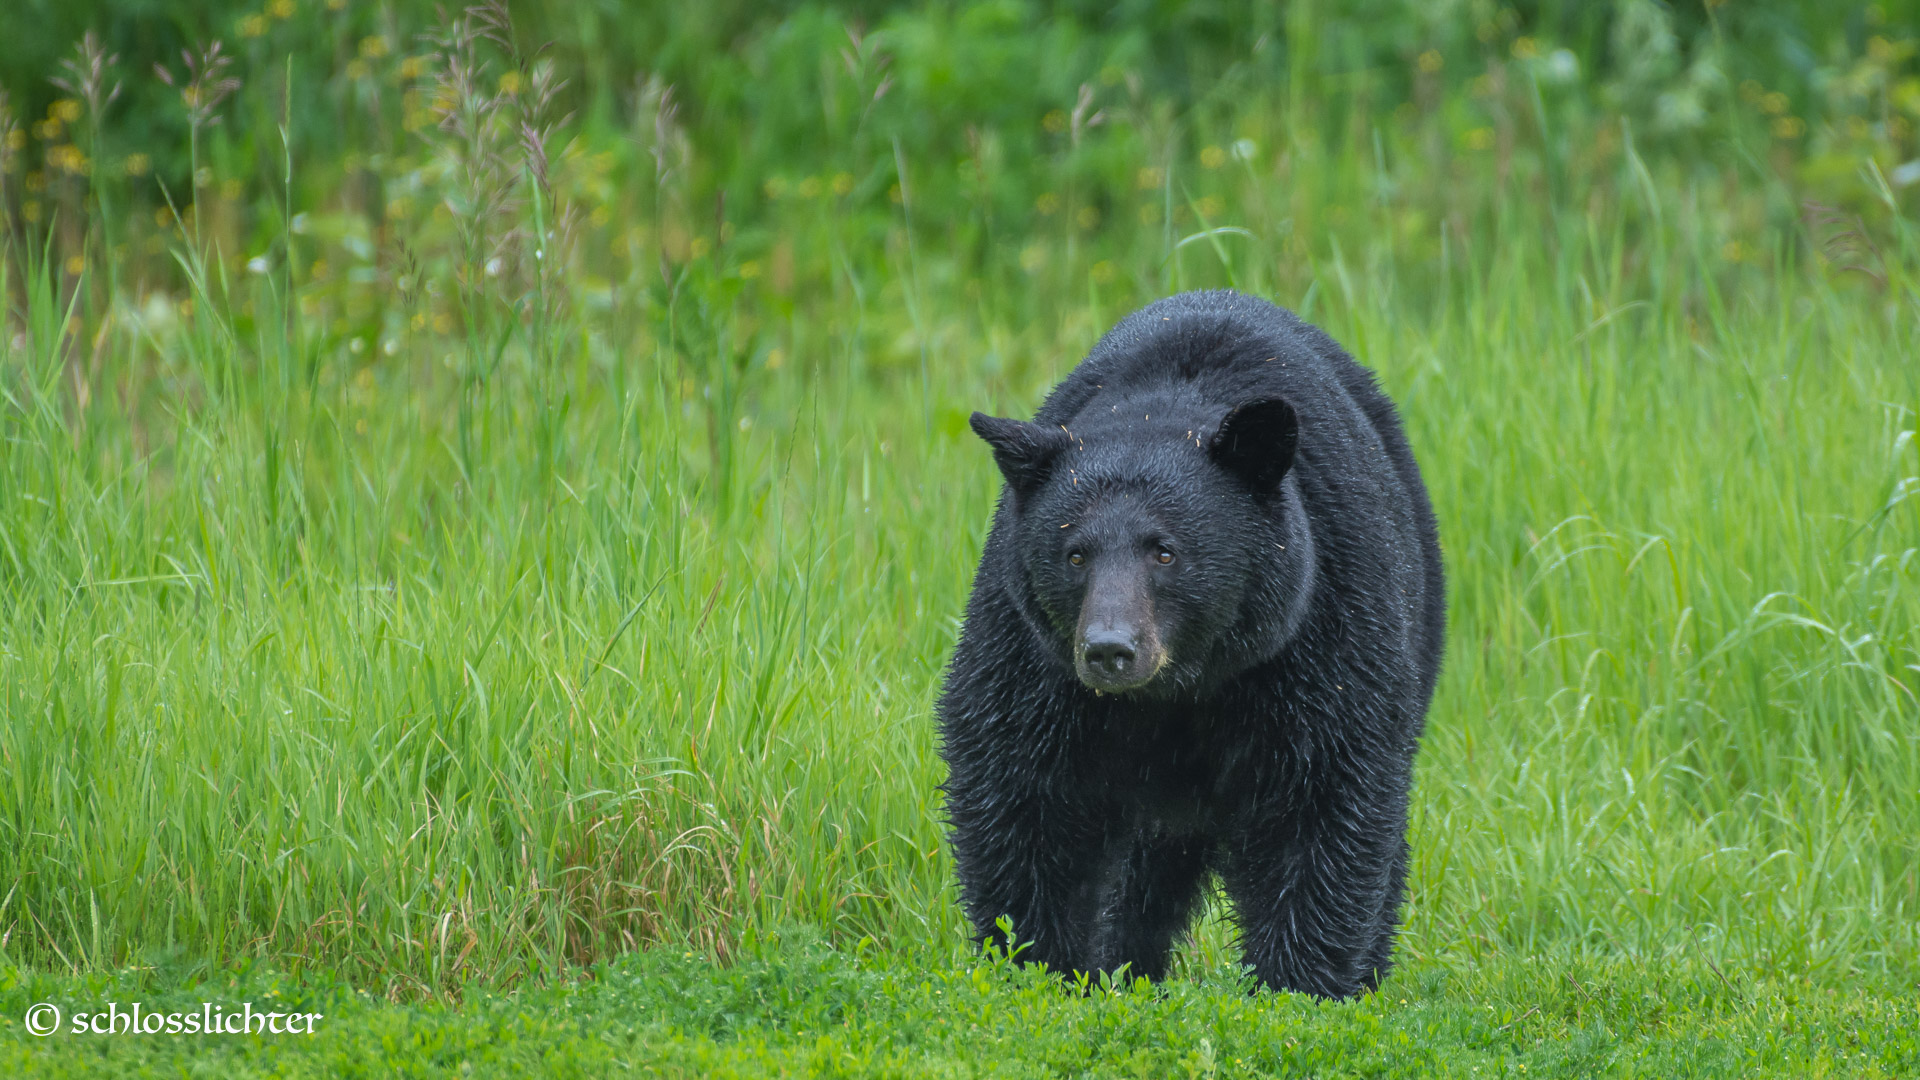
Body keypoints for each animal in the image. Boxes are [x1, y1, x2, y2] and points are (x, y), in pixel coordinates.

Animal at [936, 286, 1443, 991]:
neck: (1178, 690)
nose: (1109, 650)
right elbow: (1021, 791)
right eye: (1074, 554)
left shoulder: (1322, 634)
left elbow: (1320, 801)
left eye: (1165, 551)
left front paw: (1296, 986)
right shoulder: (1032, 658)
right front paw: (1039, 968)